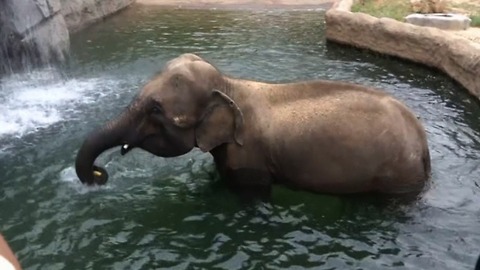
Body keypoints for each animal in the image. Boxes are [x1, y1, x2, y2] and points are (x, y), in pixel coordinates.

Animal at [75, 53, 432, 196]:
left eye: (156, 110)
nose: (99, 174)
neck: (229, 85)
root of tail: (422, 140)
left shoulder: (249, 157)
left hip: (397, 175)